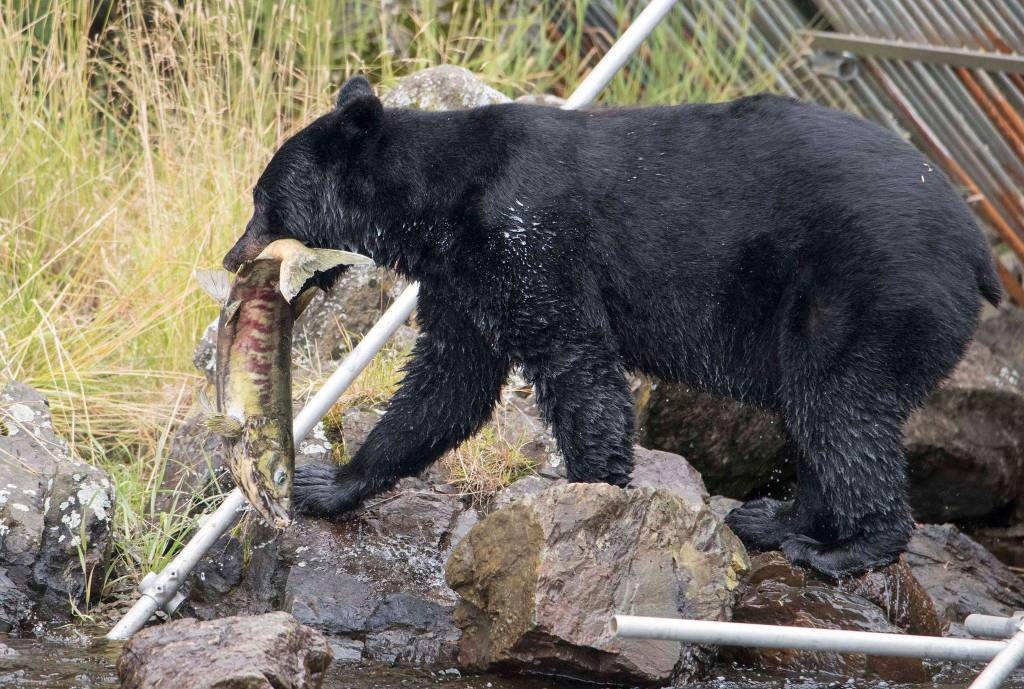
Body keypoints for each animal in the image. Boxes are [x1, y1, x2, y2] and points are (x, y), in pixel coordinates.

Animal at [223, 76, 1001, 577]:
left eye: (263, 200)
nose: (232, 257)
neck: (442, 201)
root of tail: (980, 250)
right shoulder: (464, 278)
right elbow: (449, 381)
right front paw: (328, 482)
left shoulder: (528, 239)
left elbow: (575, 363)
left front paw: (586, 502)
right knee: (818, 416)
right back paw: (776, 520)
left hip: (868, 291)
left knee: (840, 408)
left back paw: (847, 547)